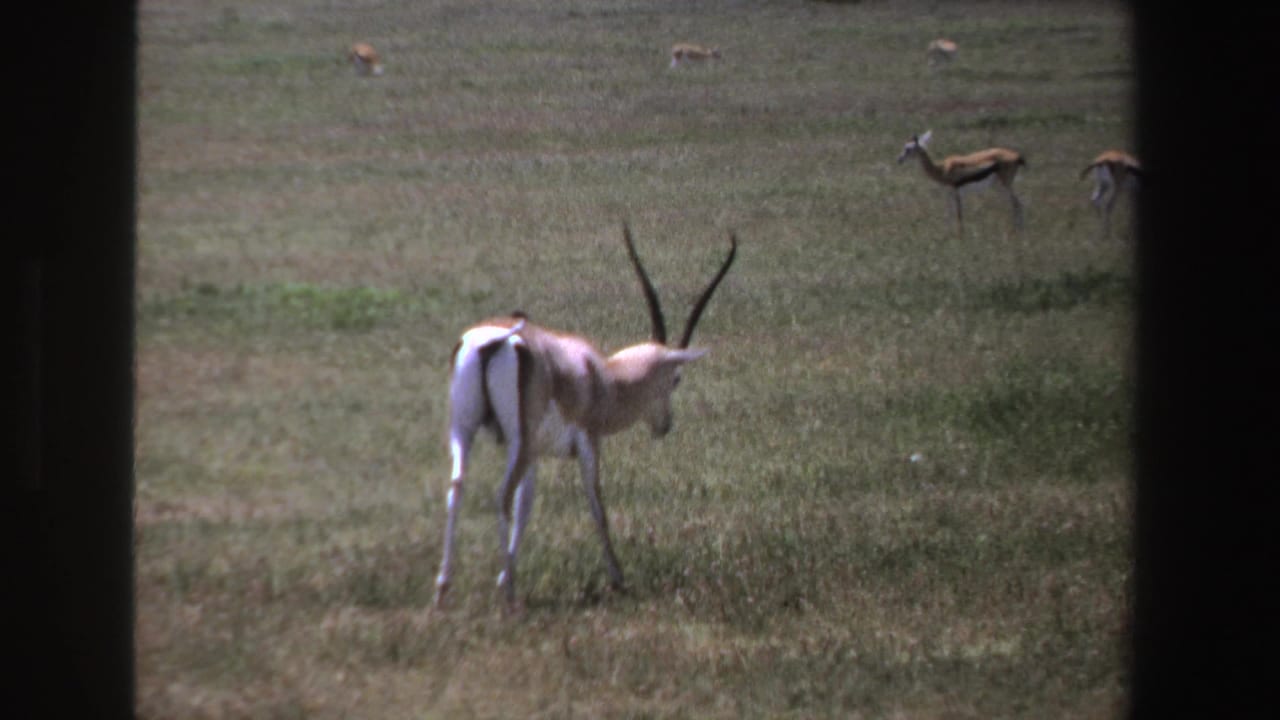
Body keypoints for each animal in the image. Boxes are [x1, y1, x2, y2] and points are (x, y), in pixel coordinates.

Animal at [434, 226, 737, 608]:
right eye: (676, 379)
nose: (665, 425)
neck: (600, 375)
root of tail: (493, 340)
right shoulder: (588, 442)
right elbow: (596, 505)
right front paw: (618, 578)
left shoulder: (535, 454)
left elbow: (525, 506)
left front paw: (505, 572)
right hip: (517, 442)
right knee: (501, 495)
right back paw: (510, 597)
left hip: (465, 431)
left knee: (457, 488)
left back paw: (443, 589)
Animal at [897, 130, 1027, 236]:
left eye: (908, 148)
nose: (899, 160)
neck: (943, 169)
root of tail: (1017, 156)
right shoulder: (948, 194)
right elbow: (948, 215)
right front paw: (946, 235)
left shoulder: (956, 192)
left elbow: (959, 215)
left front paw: (961, 237)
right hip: (997, 186)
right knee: (1015, 203)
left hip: (1005, 185)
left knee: (1017, 203)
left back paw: (1018, 231)